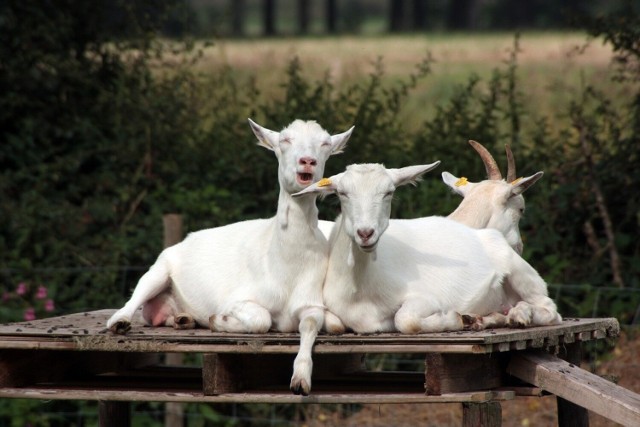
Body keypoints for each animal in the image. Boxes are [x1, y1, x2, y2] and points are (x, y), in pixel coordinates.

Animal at [106, 118, 356, 396]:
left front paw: (300, 380)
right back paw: (120, 322)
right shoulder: (236, 298)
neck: (284, 266)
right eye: (284, 140)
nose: (307, 161)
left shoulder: (310, 300)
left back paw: (183, 319)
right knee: (136, 296)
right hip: (160, 268)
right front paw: (219, 320)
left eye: (325, 144)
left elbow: (314, 325)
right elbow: (261, 319)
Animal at [296, 164, 560, 334]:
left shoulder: (426, 298)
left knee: (550, 309)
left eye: (389, 192)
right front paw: (467, 319)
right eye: (342, 193)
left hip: (521, 273)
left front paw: (454, 318)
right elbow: (333, 324)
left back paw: (519, 315)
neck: (361, 289)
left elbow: (405, 320)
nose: (365, 233)